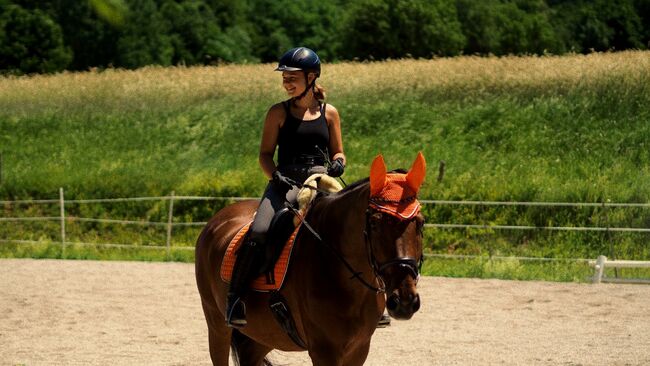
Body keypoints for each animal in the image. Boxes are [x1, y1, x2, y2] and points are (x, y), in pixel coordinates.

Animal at [194, 153, 426, 364]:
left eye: (420, 222)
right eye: (376, 223)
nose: (405, 301)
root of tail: (216, 221)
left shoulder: (359, 349)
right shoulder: (324, 350)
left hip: (262, 336)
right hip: (217, 325)